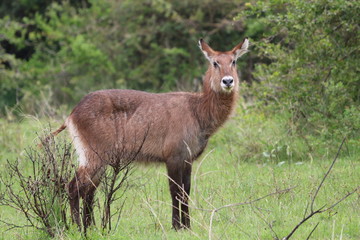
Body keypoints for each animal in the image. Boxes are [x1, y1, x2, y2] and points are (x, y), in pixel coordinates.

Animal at [50, 38, 248, 231]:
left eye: (233, 61)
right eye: (215, 62)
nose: (228, 81)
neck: (197, 110)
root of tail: (73, 113)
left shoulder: (187, 159)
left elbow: (186, 191)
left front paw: (187, 226)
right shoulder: (173, 157)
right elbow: (175, 191)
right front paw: (177, 226)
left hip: (100, 160)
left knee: (88, 190)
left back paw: (91, 227)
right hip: (94, 156)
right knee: (73, 187)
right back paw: (77, 228)